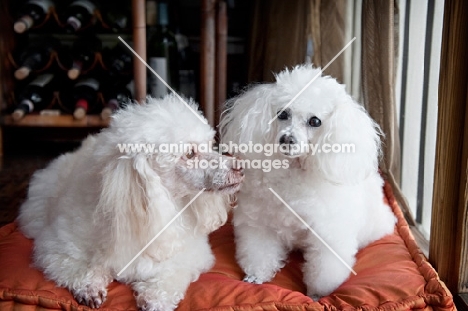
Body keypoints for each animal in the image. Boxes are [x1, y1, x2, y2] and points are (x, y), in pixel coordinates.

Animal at [17, 96, 245, 310]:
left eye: (209, 146)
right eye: (190, 154)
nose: (240, 166)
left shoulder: (192, 254)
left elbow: (173, 274)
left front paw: (155, 299)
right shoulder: (55, 247)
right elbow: (75, 265)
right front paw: (89, 286)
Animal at [219, 65, 394, 300]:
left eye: (315, 121)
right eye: (283, 114)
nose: (287, 139)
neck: (294, 171)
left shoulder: (328, 235)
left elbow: (323, 272)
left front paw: (317, 295)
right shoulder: (260, 225)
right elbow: (260, 253)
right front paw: (256, 276)